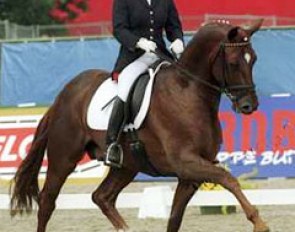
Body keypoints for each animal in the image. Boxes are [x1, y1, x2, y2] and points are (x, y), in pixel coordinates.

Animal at [9, 20, 270, 232]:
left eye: (254, 59)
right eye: (234, 63)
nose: (249, 105)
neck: (188, 93)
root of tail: (64, 94)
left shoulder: (189, 175)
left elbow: (174, 219)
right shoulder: (186, 163)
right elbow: (228, 179)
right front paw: (259, 222)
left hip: (126, 165)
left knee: (102, 197)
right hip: (64, 158)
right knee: (47, 201)